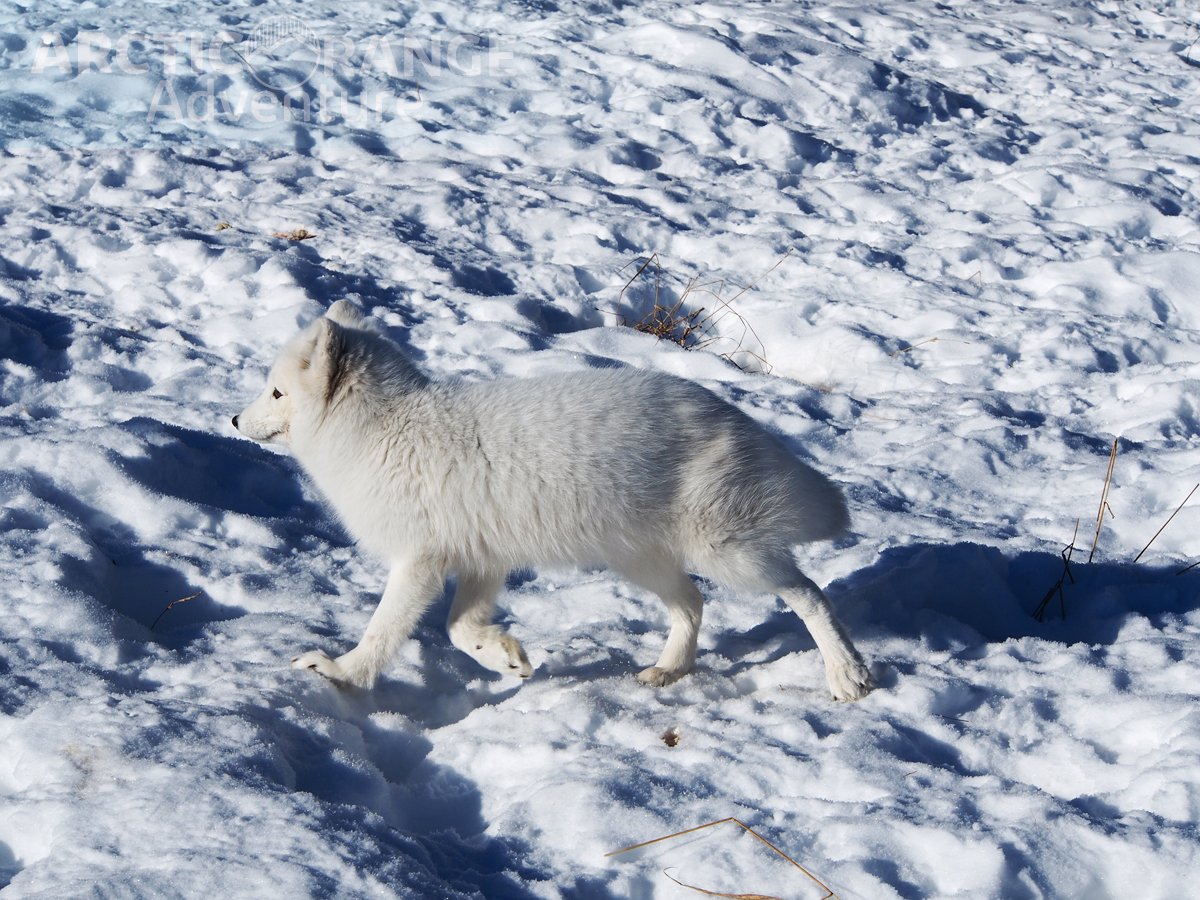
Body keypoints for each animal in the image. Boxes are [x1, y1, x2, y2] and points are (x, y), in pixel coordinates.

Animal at [234, 303, 873, 705]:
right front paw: (507, 658)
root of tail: (730, 415)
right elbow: (461, 630)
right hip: (641, 559)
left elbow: (382, 634)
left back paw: (848, 674)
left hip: (725, 553)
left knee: (808, 593)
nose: (236, 420)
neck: (386, 428)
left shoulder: (418, 562)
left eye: (276, 392)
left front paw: (341, 674)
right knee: (692, 605)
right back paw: (670, 670)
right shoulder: (481, 560)